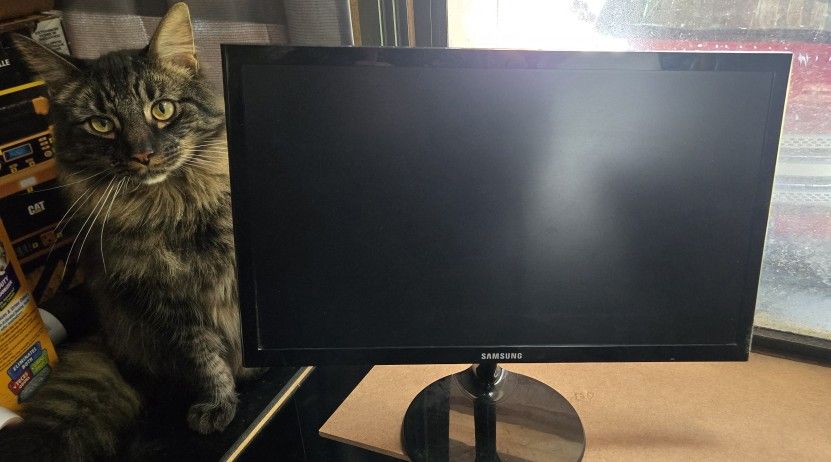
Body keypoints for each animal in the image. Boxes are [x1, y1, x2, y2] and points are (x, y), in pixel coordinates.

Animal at [0, 3, 259, 460]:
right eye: (102, 124)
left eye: (162, 109)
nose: (143, 155)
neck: (175, 209)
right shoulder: (163, 303)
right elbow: (205, 358)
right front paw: (218, 402)